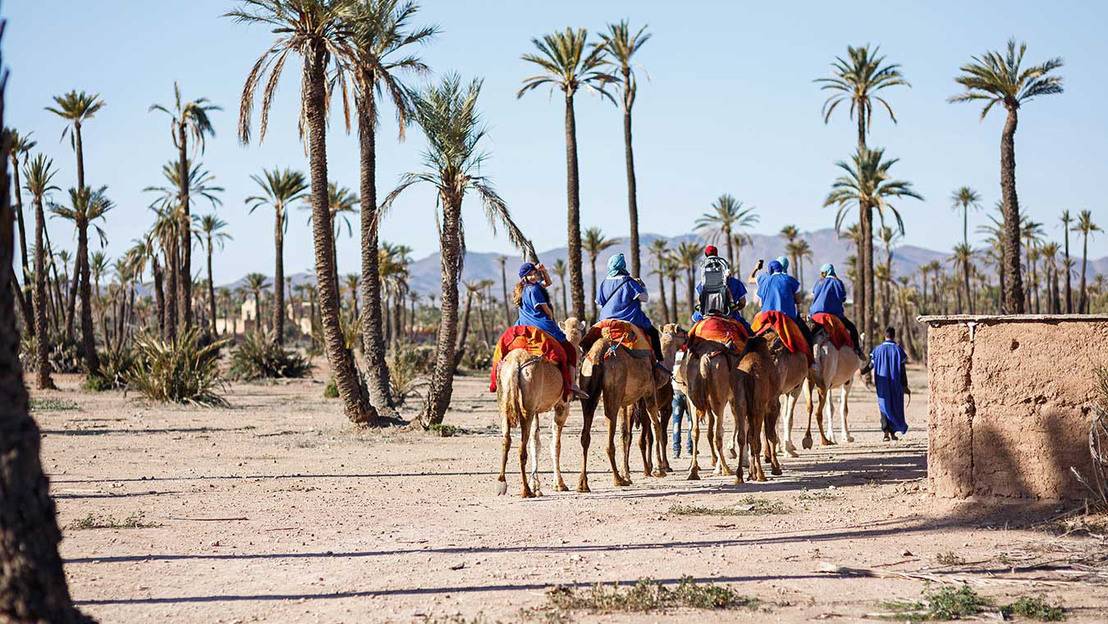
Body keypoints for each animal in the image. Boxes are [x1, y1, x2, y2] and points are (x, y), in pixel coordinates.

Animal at [498, 316, 589, 498]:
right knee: (521, 447)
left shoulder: (536, 410)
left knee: (507, 439)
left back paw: (502, 484)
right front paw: (559, 484)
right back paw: (525, 490)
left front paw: (537, 486)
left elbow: (536, 443)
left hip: (508, 400)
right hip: (528, 405)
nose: (582, 351)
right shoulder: (562, 406)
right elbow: (555, 444)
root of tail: (516, 363)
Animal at [580, 325, 664, 489]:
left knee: (585, 434)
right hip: (614, 391)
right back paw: (618, 479)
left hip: (588, 389)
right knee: (610, 434)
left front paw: (628, 473)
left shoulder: (625, 402)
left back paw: (583, 484)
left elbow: (625, 433)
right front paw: (659, 469)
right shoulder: (649, 391)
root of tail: (598, 356)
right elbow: (655, 425)